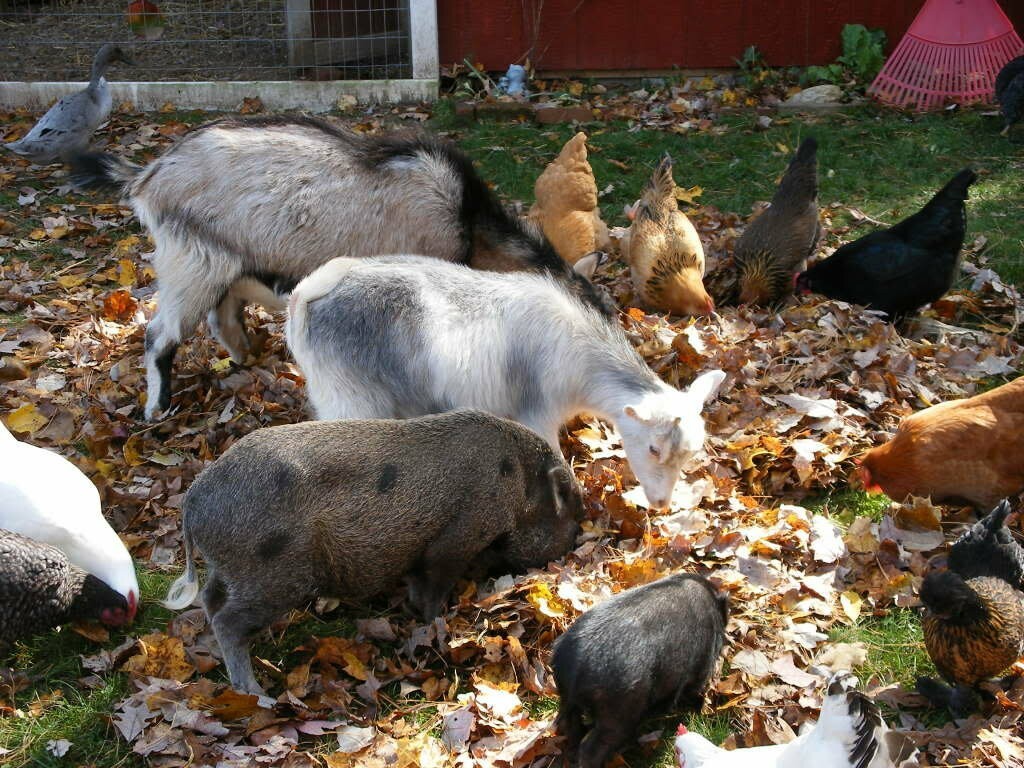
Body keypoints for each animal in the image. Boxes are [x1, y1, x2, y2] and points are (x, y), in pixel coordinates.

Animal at [74, 115, 614, 421]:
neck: (466, 219)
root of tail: (147, 176)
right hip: (192, 263)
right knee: (160, 334)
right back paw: (156, 408)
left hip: (222, 265)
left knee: (222, 317)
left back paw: (247, 358)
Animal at [167, 411, 585, 696]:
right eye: (570, 510)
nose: (574, 542)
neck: (518, 483)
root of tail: (192, 502)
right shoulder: (456, 537)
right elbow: (433, 587)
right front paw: (439, 622)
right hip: (275, 572)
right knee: (228, 621)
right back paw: (256, 694)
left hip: (231, 569)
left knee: (210, 599)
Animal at [284, 256, 724, 514]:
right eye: (653, 449)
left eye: (690, 454)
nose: (662, 504)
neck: (580, 359)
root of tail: (304, 298)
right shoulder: (538, 415)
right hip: (350, 398)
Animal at [552, 577, 729, 768]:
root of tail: (576, 667)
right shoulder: (700, 665)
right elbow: (694, 687)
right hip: (618, 709)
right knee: (592, 747)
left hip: (567, 698)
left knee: (569, 725)